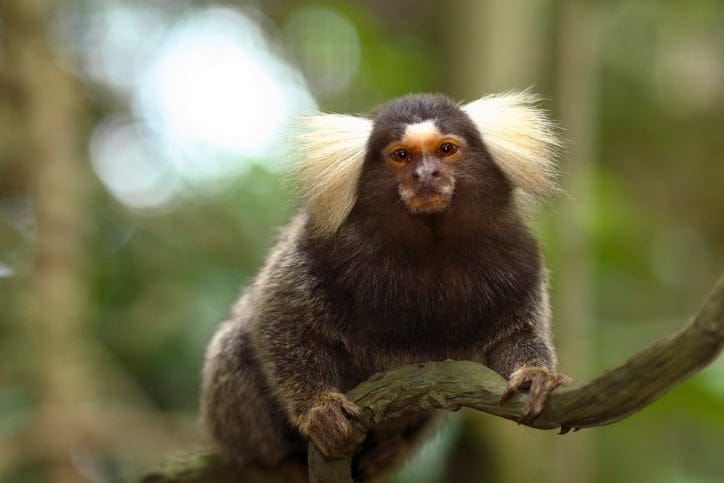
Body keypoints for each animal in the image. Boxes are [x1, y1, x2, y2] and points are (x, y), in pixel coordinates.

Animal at [200, 91, 571, 481]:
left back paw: (386, 450)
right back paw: (283, 461)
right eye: (401, 155)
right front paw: (319, 410)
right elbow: (279, 318)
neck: (430, 244)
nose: (426, 175)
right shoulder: (318, 247)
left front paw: (535, 376)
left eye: (446, 150)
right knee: (235, 345)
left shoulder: (519, 257)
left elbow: (515, 337)